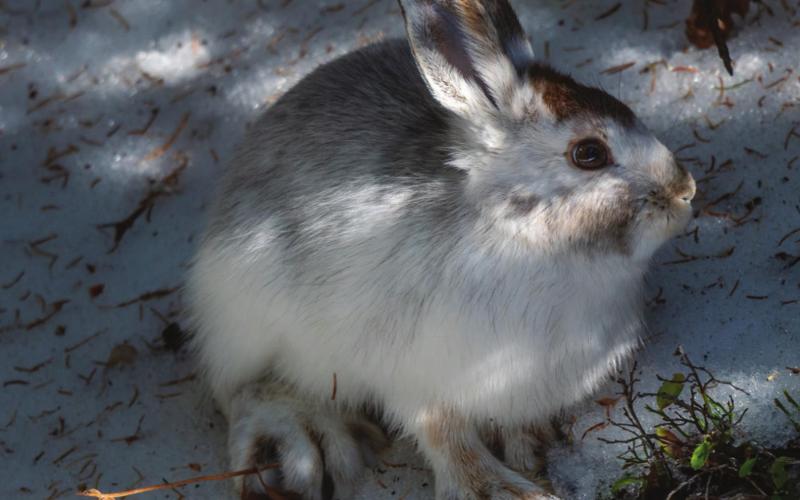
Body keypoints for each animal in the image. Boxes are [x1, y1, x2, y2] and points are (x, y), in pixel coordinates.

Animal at [186, 0, 696, 498]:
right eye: (589, 153)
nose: (685, 190)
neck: (528, 239)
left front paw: (526, 447)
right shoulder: (417, 375)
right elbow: (441, 432)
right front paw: (496, 489)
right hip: (254, 324)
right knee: (246, 392)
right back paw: (310, 443)